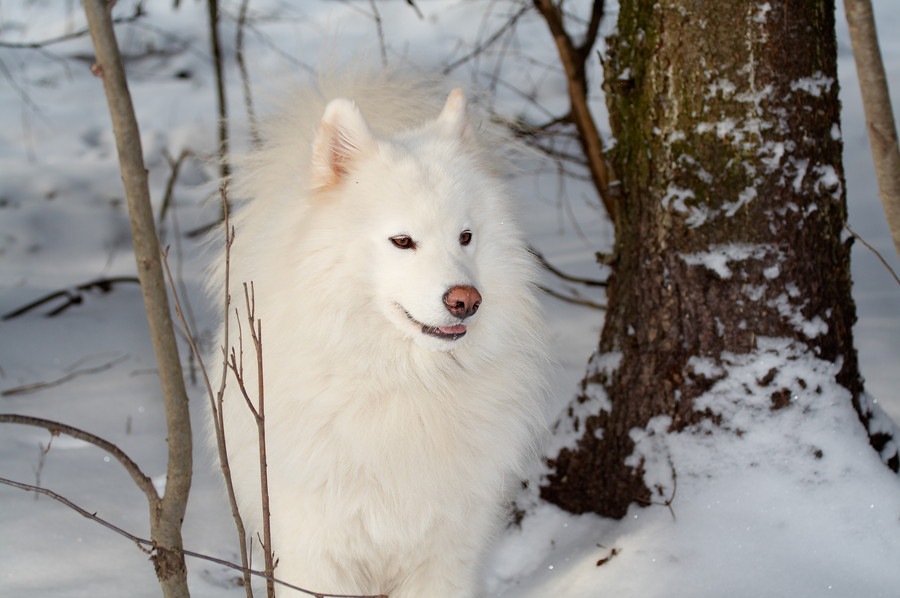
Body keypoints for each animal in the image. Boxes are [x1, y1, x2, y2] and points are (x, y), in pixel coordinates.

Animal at [209, 75, 548, 598]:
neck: (407, 382)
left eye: (465, 236)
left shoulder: (444, 554)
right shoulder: (319, 553)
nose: (466, 300)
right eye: (402, 241)